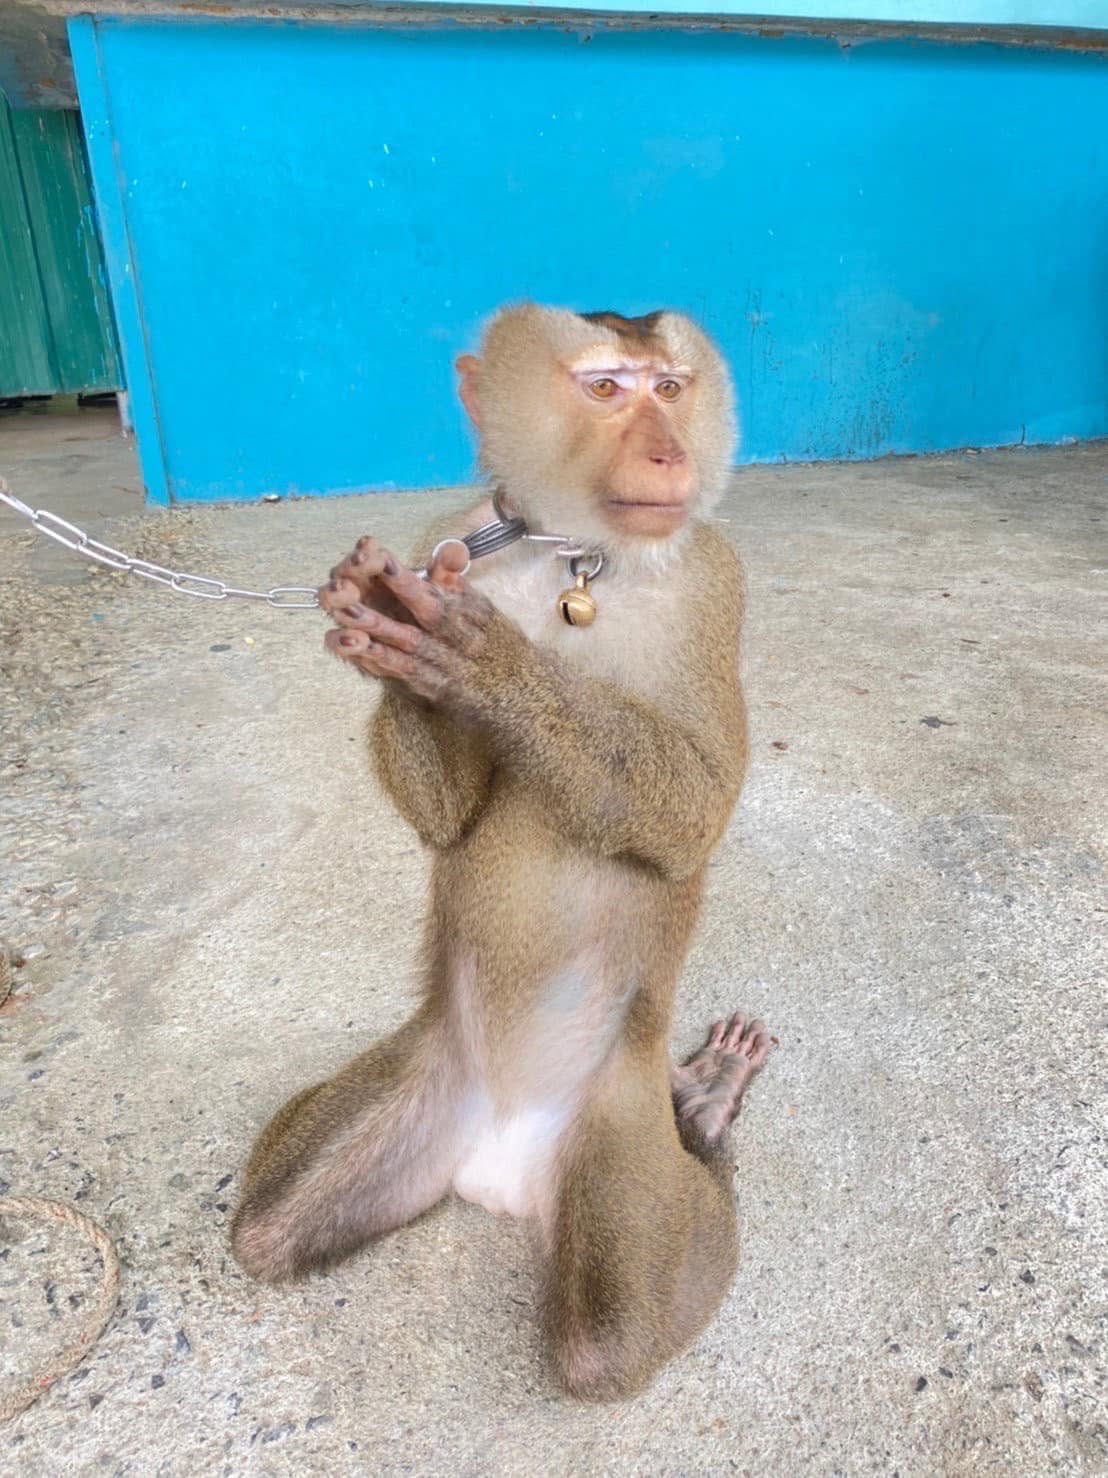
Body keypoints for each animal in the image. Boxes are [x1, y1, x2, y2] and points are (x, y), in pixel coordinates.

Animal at [231, 302, 774, 1402]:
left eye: (669, 386)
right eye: (606, 388)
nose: (668, 452)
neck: (577, 559)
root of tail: (496, 1169)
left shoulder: (714, 578)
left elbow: (694, 809)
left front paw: (489, 668)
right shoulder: (437, 539)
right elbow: (448, 823)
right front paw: (390, 634)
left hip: (612, 1119)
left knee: (606, 1344)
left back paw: (700, 1114)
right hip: (433, 1078)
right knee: (264, 1227)